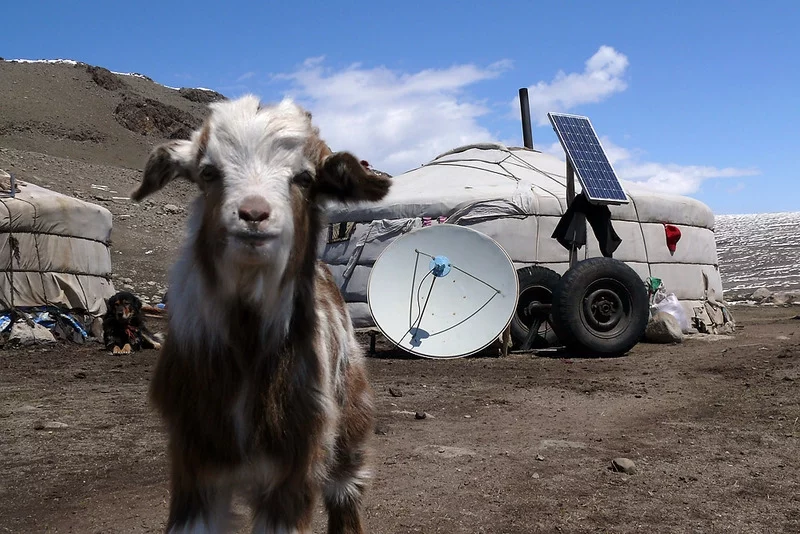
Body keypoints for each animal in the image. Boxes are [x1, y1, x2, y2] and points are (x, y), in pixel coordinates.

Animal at [131, 96, 390, 534]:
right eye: (208, 172)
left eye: (305, 177)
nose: (254, 214)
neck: (246, 337)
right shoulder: (193, 456)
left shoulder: (295, 461)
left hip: (351, 416)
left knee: (346, 490)